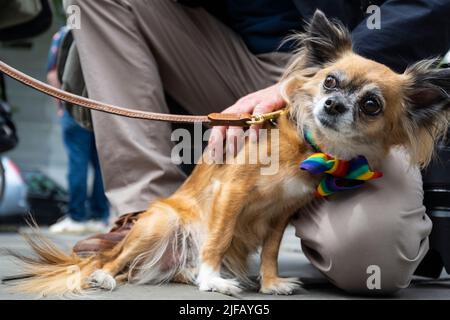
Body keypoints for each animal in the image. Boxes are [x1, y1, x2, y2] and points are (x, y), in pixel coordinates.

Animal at [4, 12, 450, 298]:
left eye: (371, 105)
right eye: (329, 81)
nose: (333, 105)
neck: (308, 148)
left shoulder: (282, 216)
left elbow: (270, 252)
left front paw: (270, 283)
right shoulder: (230, 194)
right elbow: (216, 241)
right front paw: (213, 280)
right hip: (159, 223)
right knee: (115, 262)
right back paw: (105, 278)